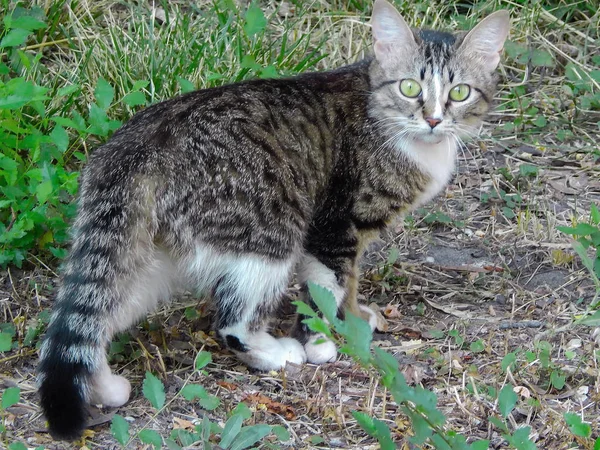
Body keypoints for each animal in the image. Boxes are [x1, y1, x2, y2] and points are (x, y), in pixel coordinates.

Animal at [36, 0, 506, 442]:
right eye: (410, 87)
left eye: (460, 92)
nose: (433, 119)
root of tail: (137, 145)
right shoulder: (334, 225)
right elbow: (327, 288)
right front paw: (323, 342)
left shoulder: (353, 235)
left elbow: (351, 281)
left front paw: (355, 318)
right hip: (271, 233)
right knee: (232, 321)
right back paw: (275, 353)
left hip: (146, 260)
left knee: (96, 319)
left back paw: (103, 385)